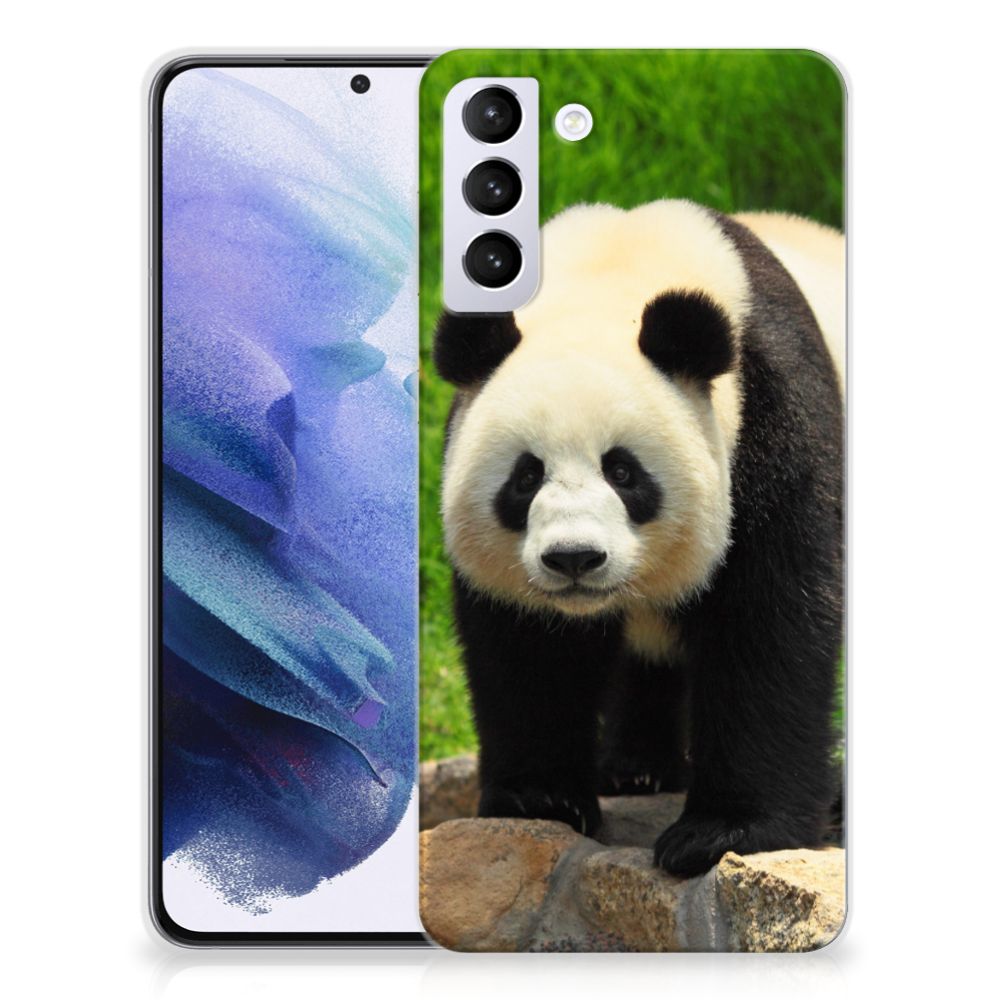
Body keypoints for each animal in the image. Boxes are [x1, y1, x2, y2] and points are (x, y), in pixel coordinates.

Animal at [433, 199, 844, 877]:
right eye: (525, 476)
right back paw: (636, 769)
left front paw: (722, 832)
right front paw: (540, 799)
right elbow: (529, 647)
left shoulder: (774, 420)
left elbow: (770, 623)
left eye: (623, 472)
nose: (574, 558)